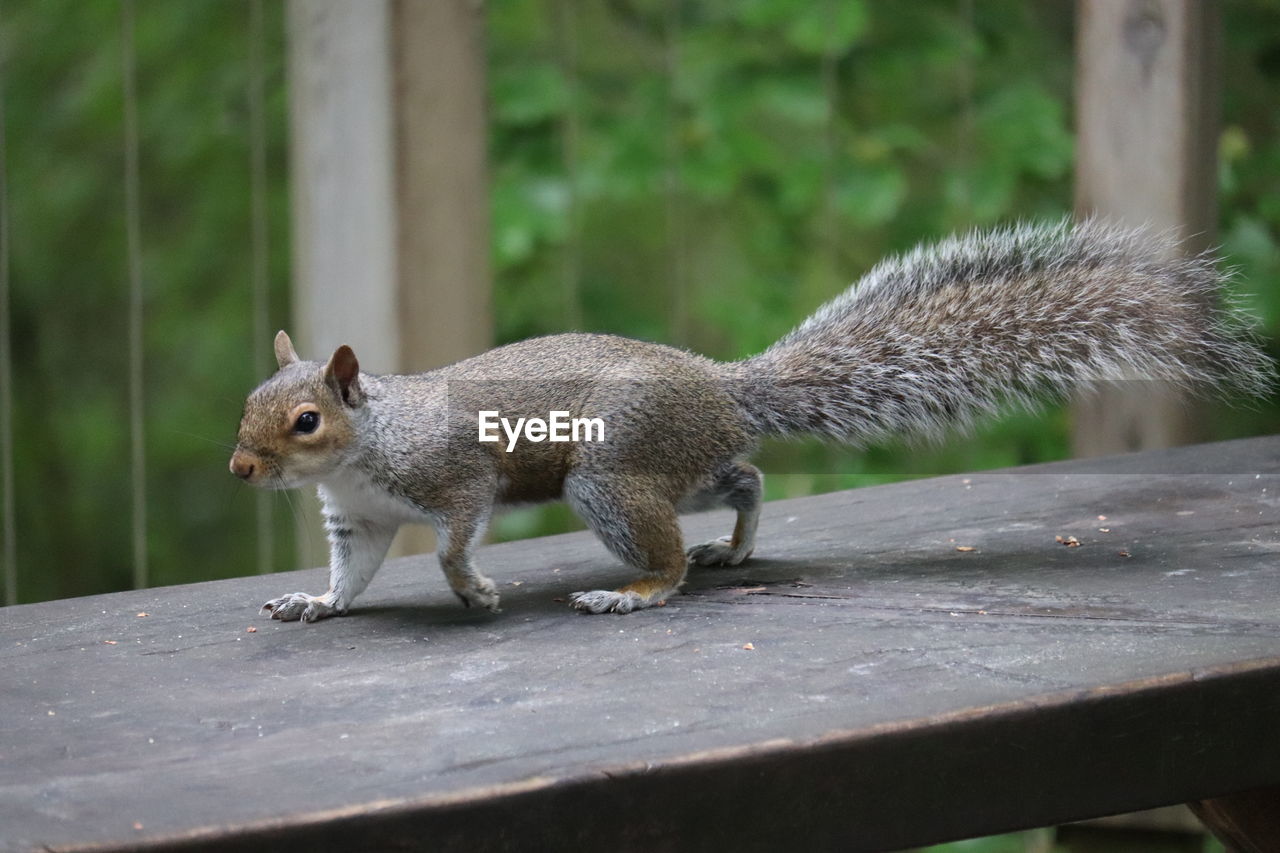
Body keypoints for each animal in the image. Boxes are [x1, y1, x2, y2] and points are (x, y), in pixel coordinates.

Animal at [227, 219, 1269, 617]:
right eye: (248, 406)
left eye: (308, 419)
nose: (240, 470)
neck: (363, 453)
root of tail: (725, 387)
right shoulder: (357, 522)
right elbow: (354, 573)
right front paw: (316, 603)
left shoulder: (455, 476)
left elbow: (450, 540)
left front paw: (474, 589)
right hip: (674, 466)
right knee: (747, 475)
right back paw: (736, 544)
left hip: (609, 471)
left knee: (670, 556)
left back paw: (636, 590)